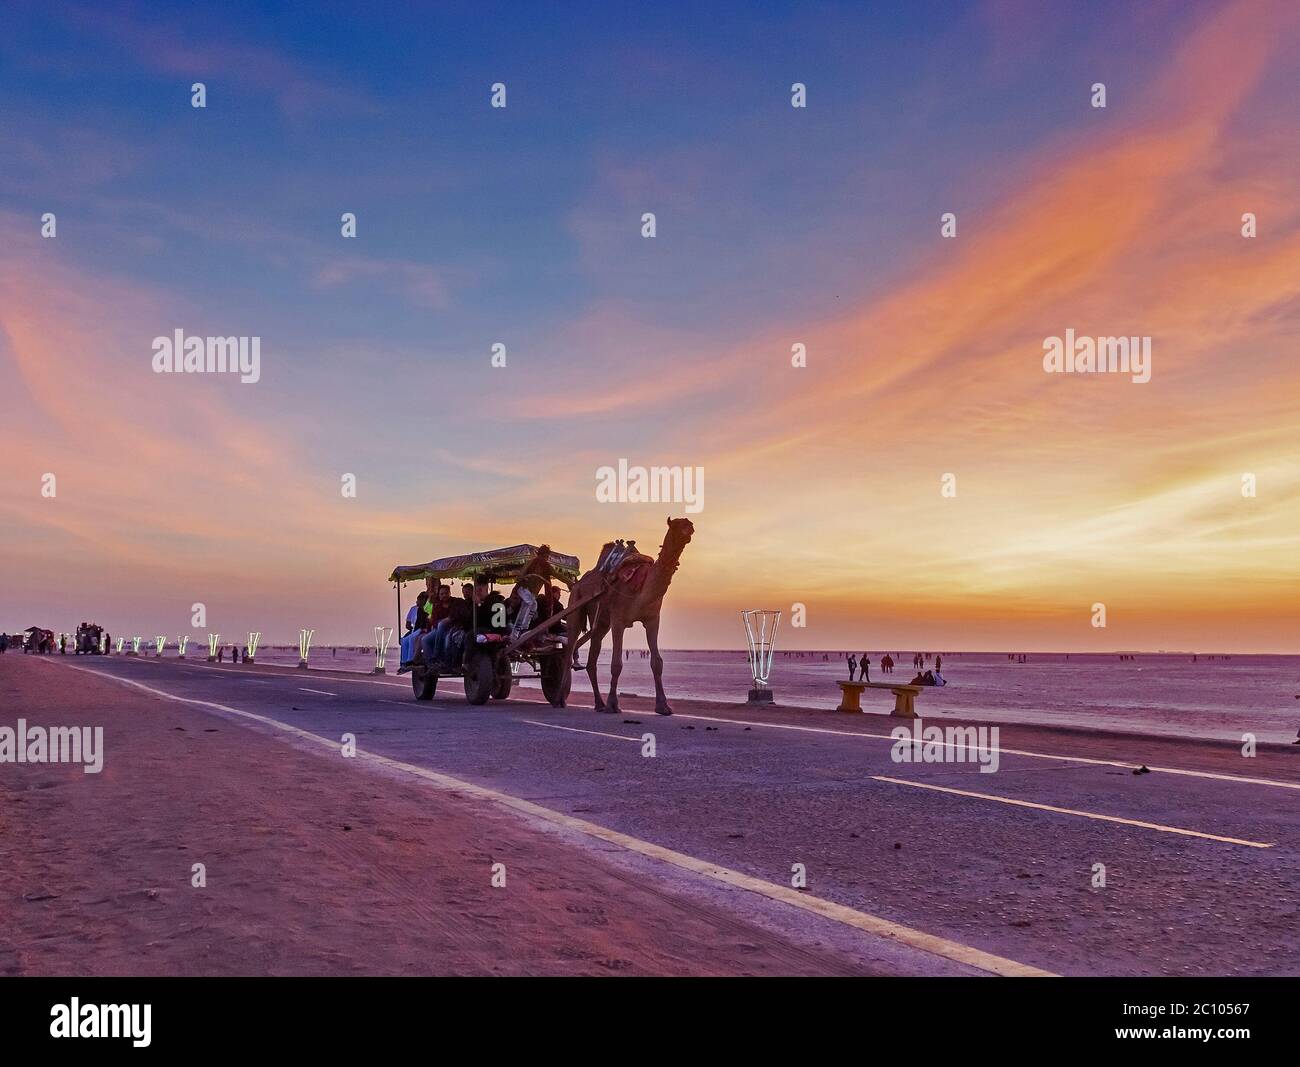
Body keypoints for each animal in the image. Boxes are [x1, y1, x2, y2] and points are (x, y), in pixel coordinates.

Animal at [566, 517, 691, 717]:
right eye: (676, 525)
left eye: (689, 523)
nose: (689, 529)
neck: (642, 587)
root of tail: (576, 584)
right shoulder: (619, 620)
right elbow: (616, 664)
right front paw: (613, 705)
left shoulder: (652, 620)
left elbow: (657, 662)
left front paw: (664, 707)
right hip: (575, 604)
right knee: (569, 646)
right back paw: (561, 697)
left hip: (600, 623)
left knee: (591, 659)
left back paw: (599, 704)